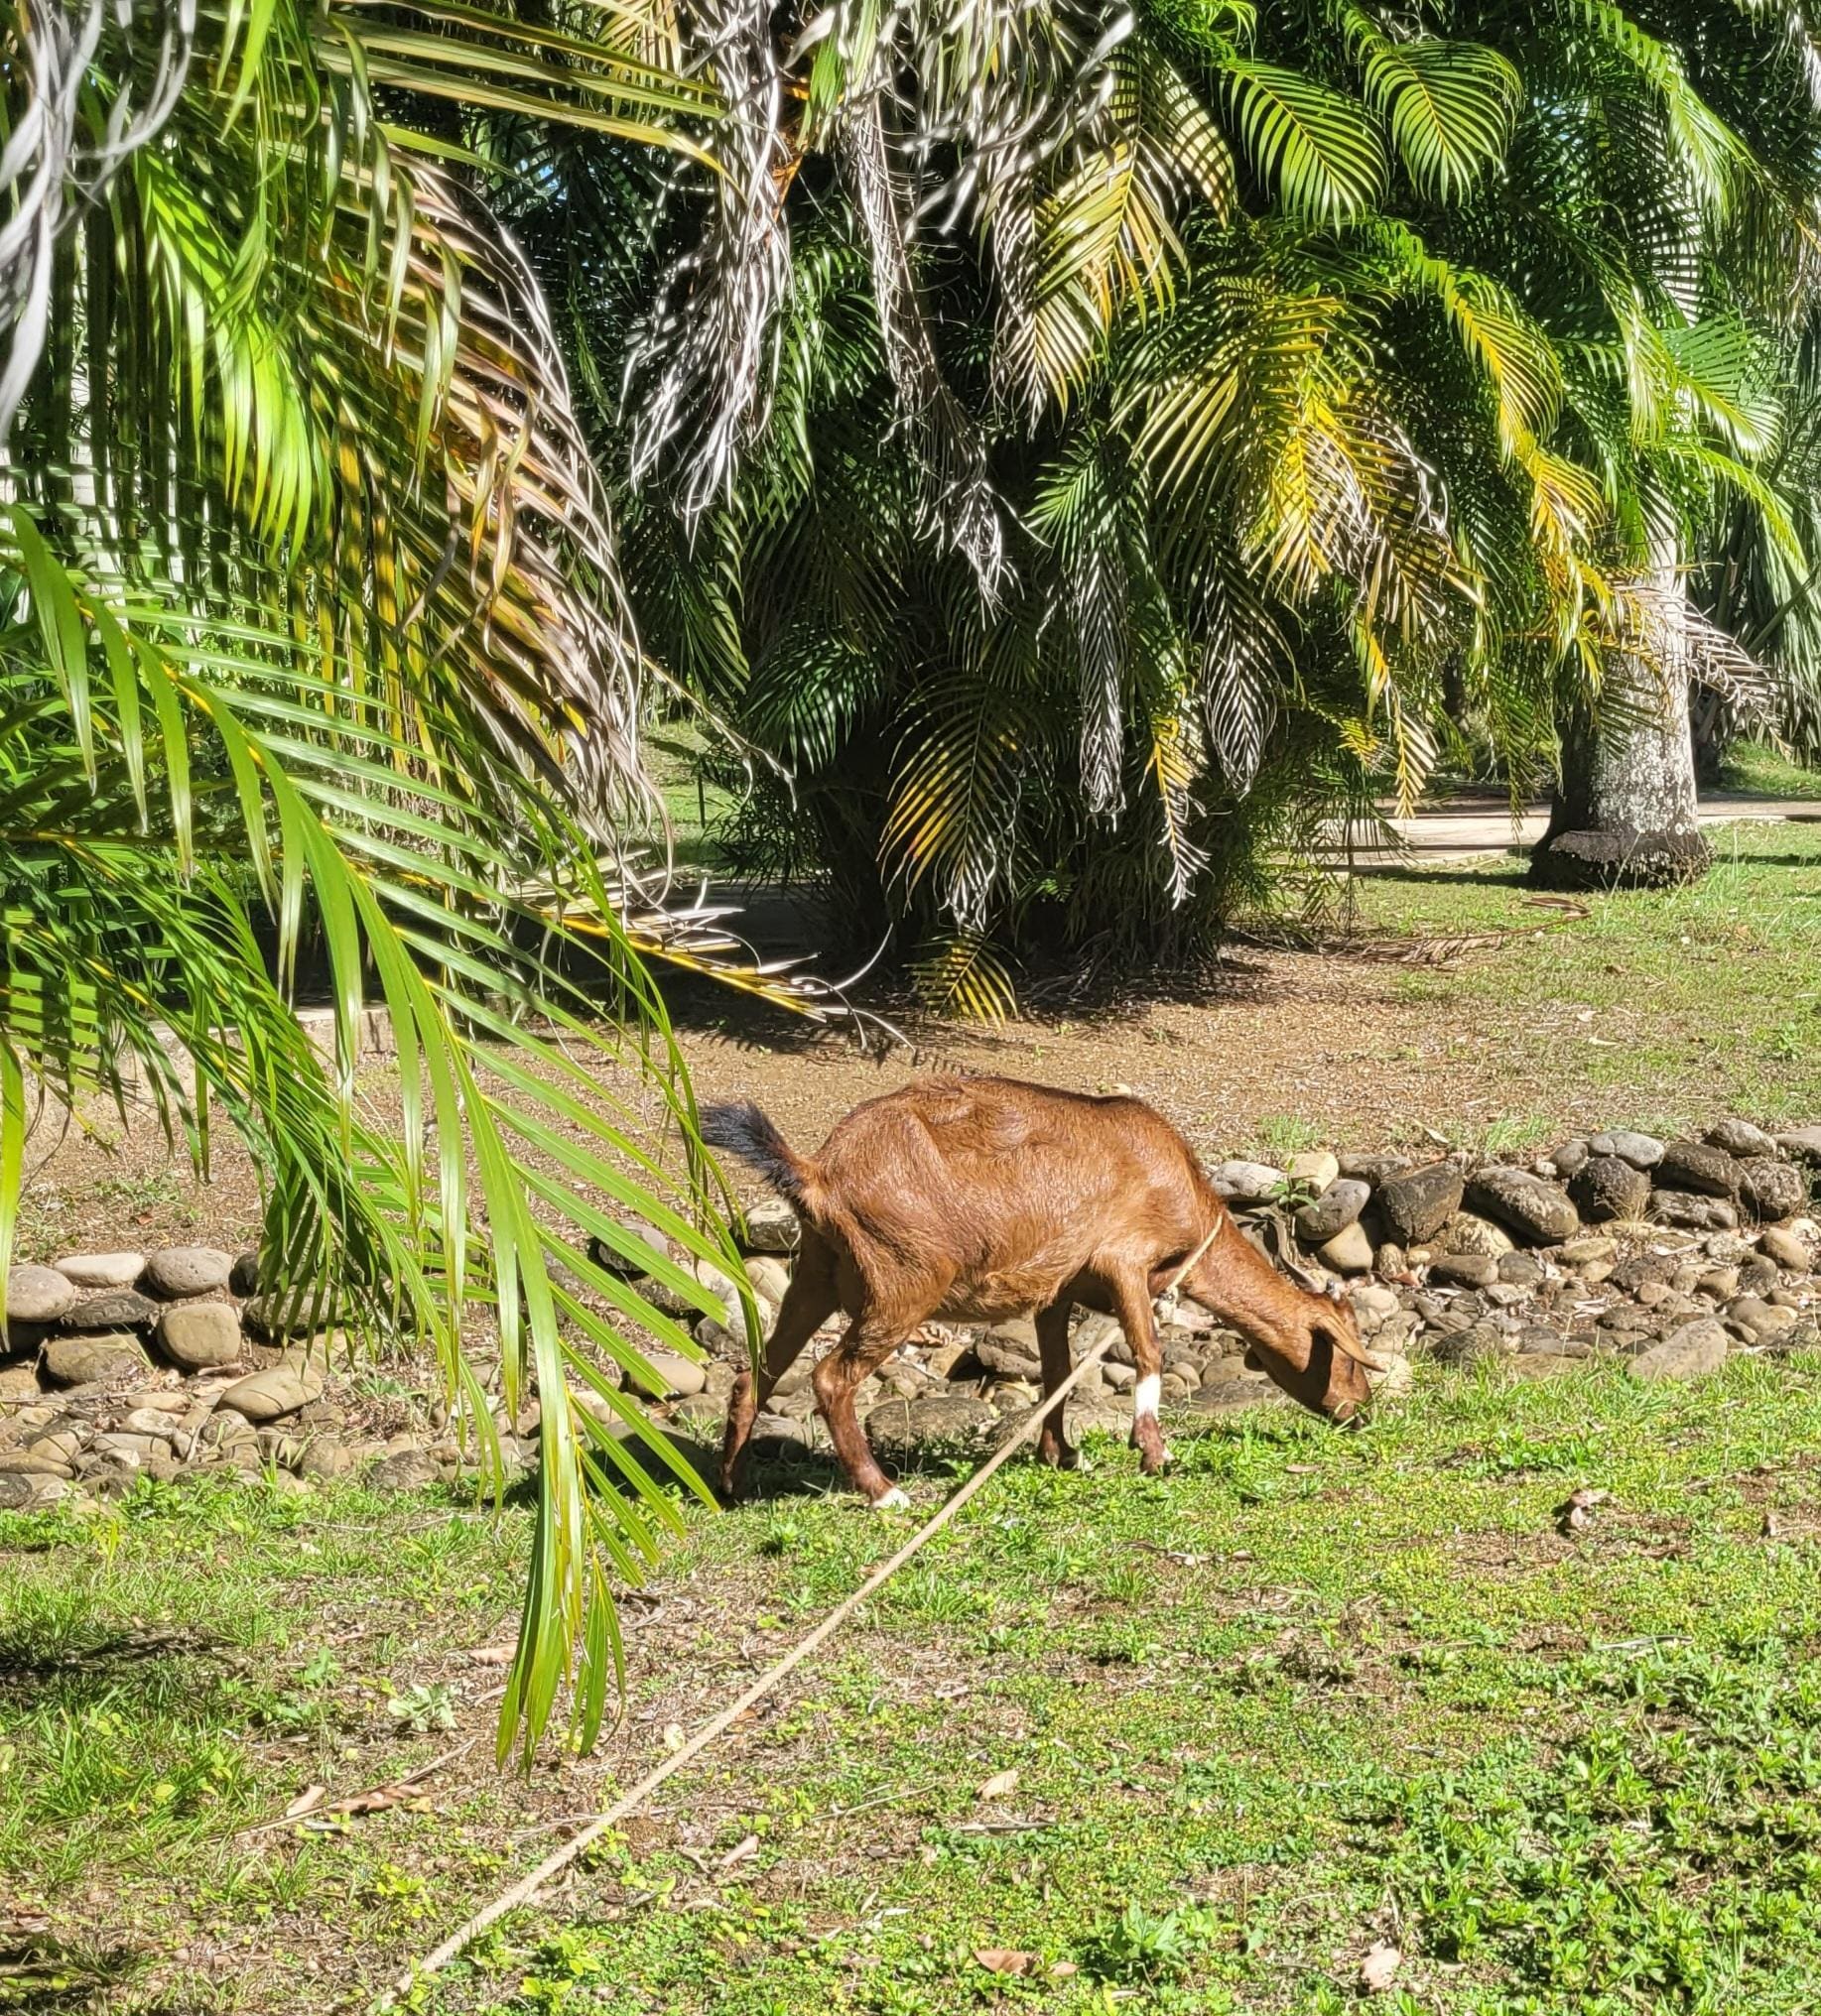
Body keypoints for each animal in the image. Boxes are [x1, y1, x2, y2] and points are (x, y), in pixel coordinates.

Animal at [702, 1075, 1381, 1509]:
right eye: (1346, 1356)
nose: (1361, 1410)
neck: (1184, 1192)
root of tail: (820, 1173)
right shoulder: (1123, 1262)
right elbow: (1148, 1353)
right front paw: (1154, 1455)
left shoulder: (1057, 1290)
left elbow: (1058, 1370)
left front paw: (1062, 1454)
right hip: (903, 1282)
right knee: (829, 1379)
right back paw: (884, 1492)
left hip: (815, 1275)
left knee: (755, 1372)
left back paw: (731, 1485)